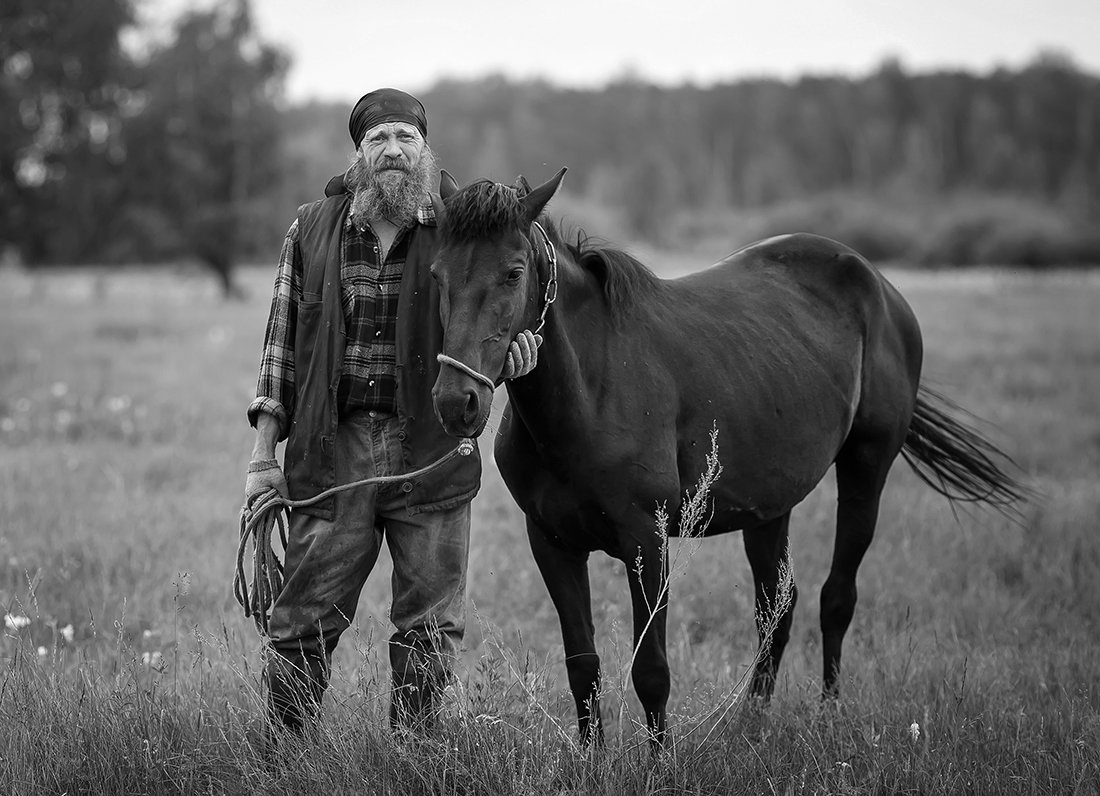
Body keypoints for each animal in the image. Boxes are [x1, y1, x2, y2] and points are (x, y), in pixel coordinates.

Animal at [426, 168, 1020, 747]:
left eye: (513, 272)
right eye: (436, 275)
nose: (457, 401)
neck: (591, 388)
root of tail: (878, 284)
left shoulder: (647, 540)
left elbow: (651, 669)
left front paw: (660, 764)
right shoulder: (552, 543)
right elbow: (583, 665)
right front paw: (594, 760)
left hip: (865, 470)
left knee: (836, 598)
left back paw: (827, 715)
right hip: (769, 507)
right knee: (777, 607)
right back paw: (752, 723)